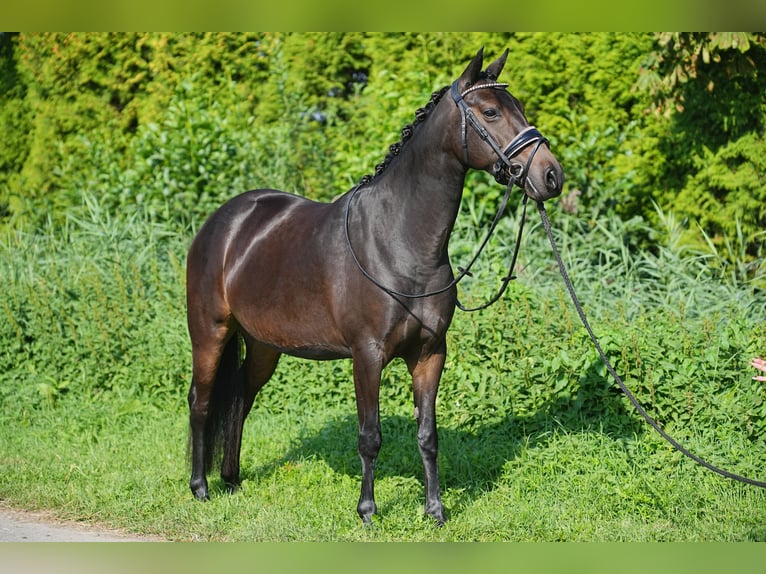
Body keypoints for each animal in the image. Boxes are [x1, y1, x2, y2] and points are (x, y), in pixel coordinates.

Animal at [186, 49, 564, 528]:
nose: (551, 176)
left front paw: (435, 510)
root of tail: (223, 222)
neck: (400, 242)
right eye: (491, 112)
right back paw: (200, 487)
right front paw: (367, 510)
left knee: (239, 399)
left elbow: (428, 435)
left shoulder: (430, 354)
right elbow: (370, 436)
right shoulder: (367, 356)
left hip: (263, 346)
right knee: (201, 401)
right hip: (210, 333)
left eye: (521, 110)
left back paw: (232, 480)